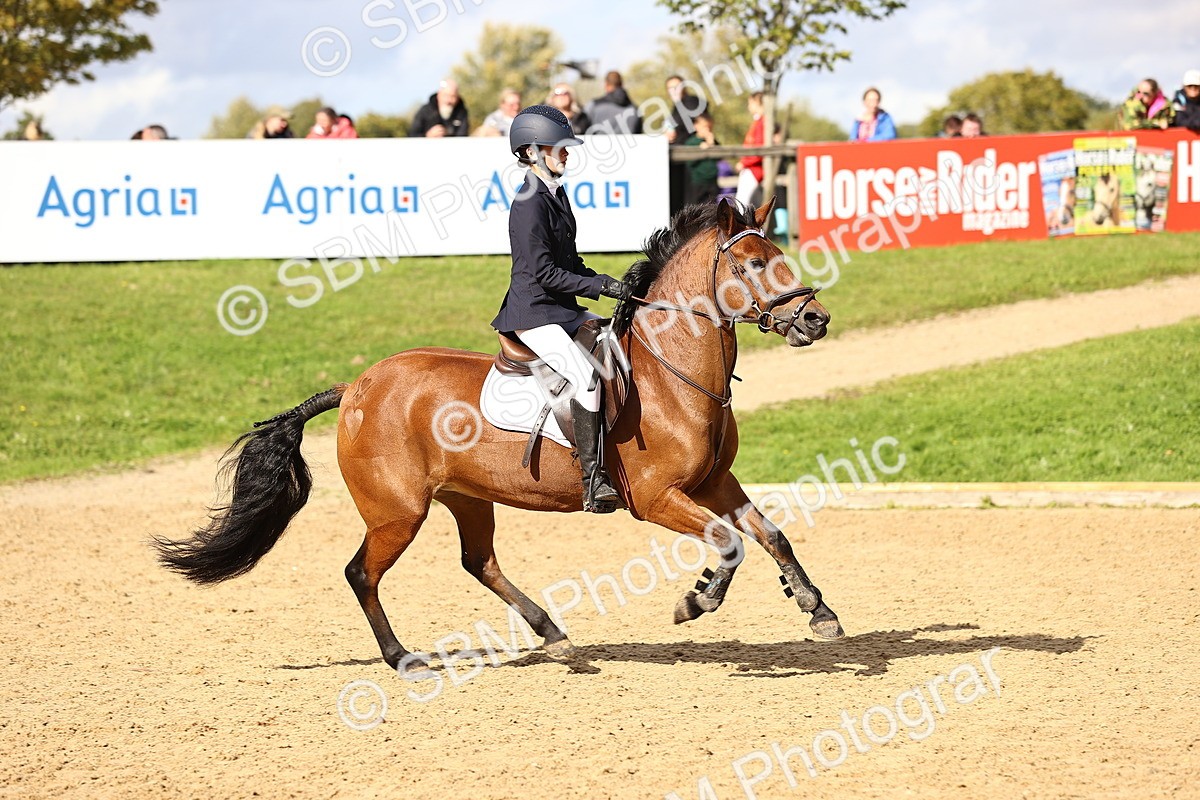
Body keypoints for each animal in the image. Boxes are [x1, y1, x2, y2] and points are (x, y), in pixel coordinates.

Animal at [154, 197, 844, 670]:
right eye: (752, 264)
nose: (815, 320)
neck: (670, 370)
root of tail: (354, 387)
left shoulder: (715, 482)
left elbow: (772, 535)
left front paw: (819, 612)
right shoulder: (657, 499)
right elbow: (728, 544)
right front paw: (696, 601)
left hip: (466, 496)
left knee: (478, 561)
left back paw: (552, 633)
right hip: (397, 512)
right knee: (362, 574)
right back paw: (402, 658)